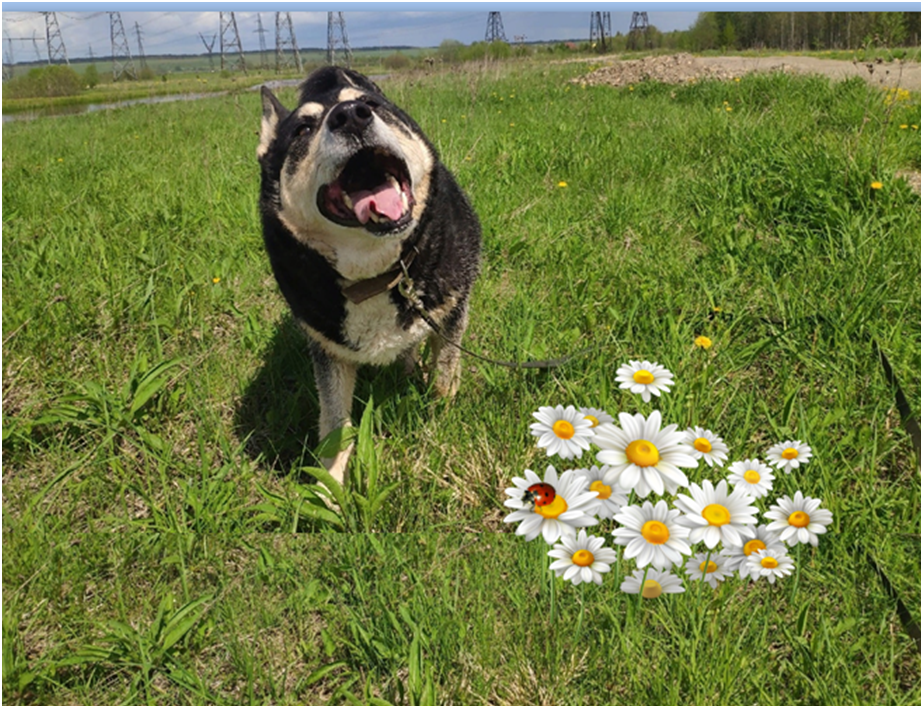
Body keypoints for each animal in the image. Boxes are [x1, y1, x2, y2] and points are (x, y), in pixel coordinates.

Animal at [256, 66, 480, 484]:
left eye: (371, 104)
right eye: (302, 130)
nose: (350, 116)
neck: (375, 272)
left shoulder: (452, 312)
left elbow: (444, 375)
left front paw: (441, 418)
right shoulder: (328, 350)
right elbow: (334, 422)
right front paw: (329, 486)